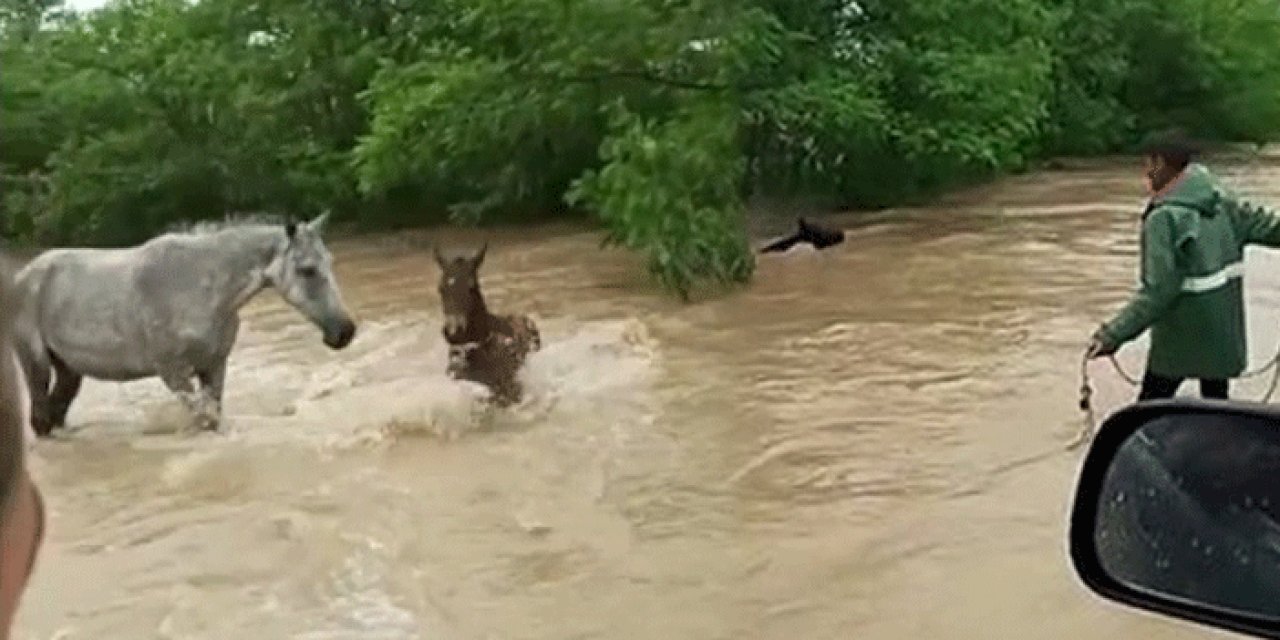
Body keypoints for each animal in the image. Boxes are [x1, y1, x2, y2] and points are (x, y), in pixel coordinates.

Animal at [7, 215, 358, 435]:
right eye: (307, 270)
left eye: (330, 263)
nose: (344, 332)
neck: (198, 287)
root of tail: (24, 276)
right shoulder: (173, 373)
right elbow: (204, 418)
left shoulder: (214, 367)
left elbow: (213, 417)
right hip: (36, 364)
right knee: (41, 418)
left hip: (69, 370)